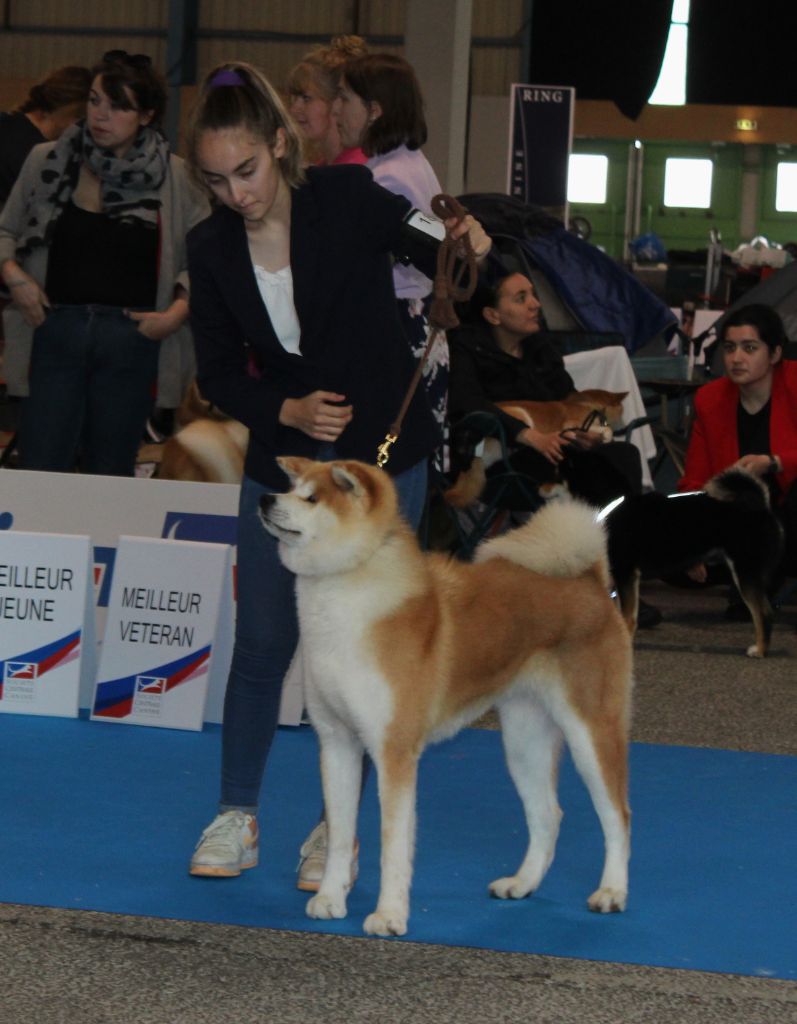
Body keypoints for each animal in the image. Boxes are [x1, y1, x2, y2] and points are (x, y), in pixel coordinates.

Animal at [258, 456, 631, 937]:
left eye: (311, 498)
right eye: (291, 487)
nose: (265, 498)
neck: (346, 606)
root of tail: (591, 581)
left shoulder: (394, 750)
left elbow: (393, 842)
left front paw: (389, 915)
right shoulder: (336, 740)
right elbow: (340, 834)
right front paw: (329, 898)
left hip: (591, 732)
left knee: (618, 817)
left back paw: (612, 892)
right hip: (523, 739)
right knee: (549, 814)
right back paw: (521, 884)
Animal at [598, 468, 778, 655]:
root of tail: (760, 506)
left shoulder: (625, 572)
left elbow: (627, 618)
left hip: (745, 569)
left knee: (763, 612)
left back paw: (759, 650)